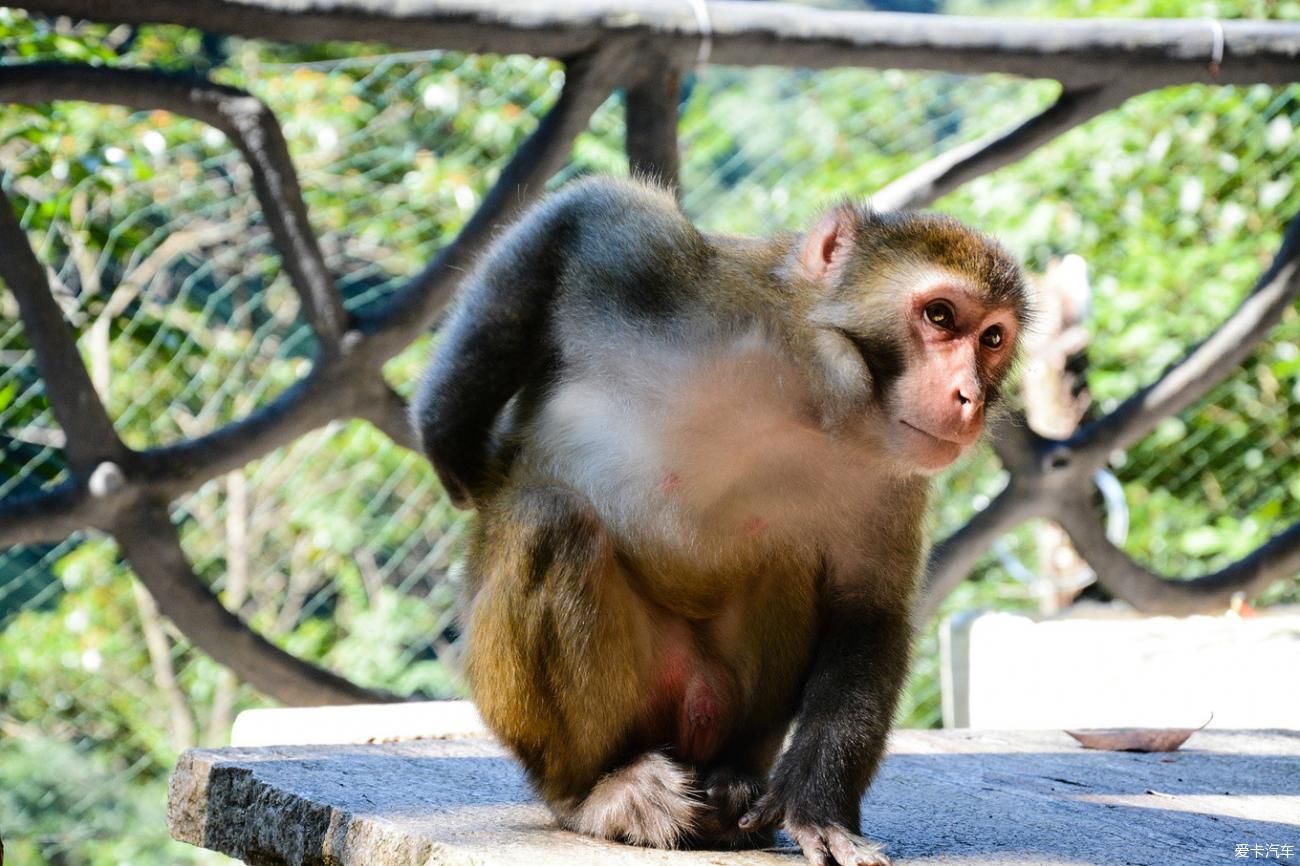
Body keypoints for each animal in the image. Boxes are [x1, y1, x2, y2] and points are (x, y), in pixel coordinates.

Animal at [413, 171, 1024, 858]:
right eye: (940, 315)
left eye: (992, 338)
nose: (968, 397)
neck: (798, 399)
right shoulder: (677, 286)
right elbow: (585, 215)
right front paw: (450, 436)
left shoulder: (891, 479)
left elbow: (867, 614)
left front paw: (817, 807)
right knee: (550, 520)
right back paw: (597, 788)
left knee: (786, 559)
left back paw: (730, 783)